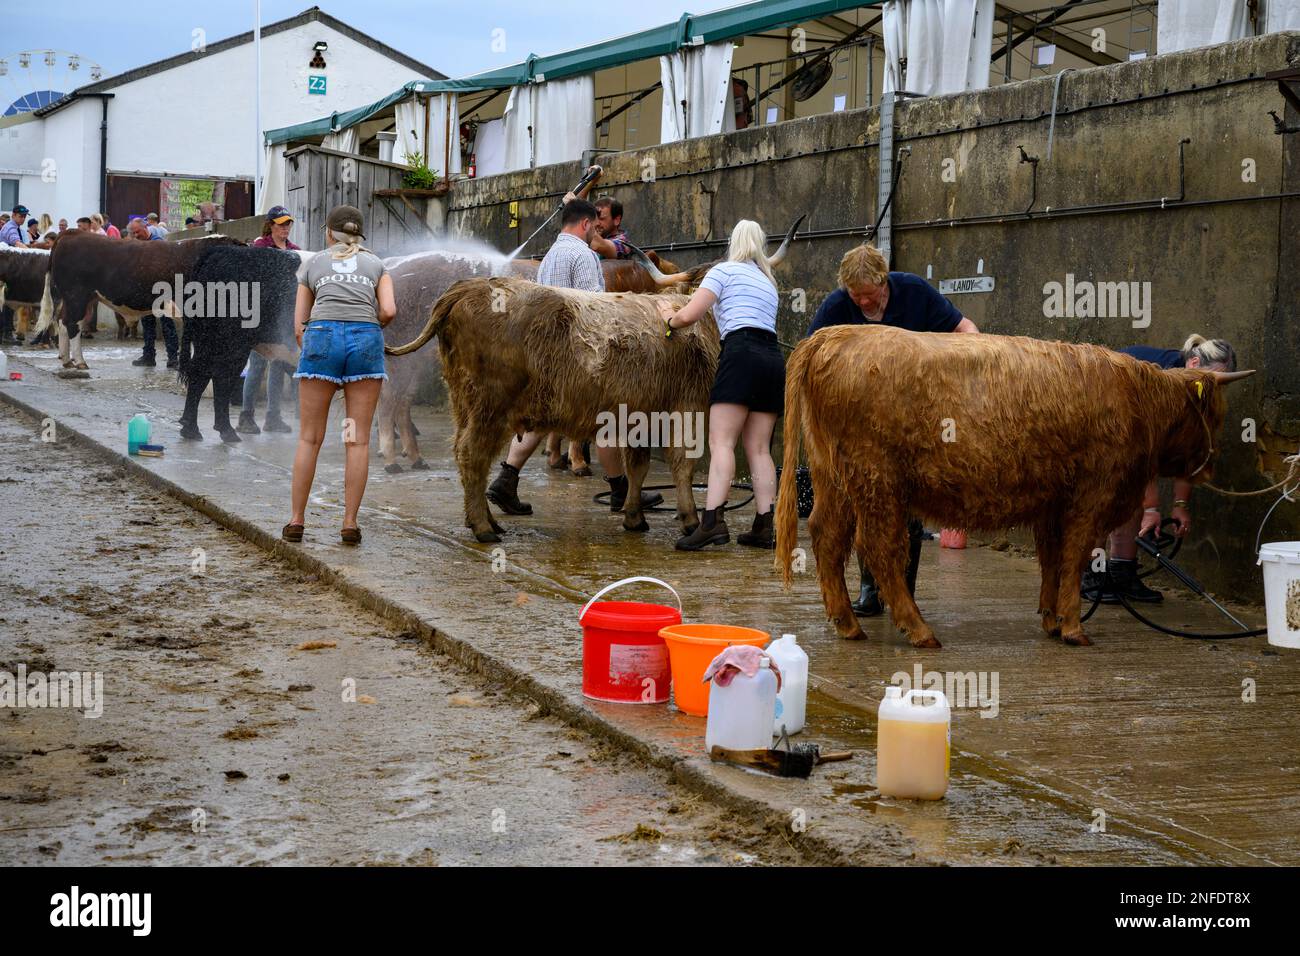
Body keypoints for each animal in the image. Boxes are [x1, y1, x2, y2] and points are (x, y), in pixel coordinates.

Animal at [774, 327, 1253, 650]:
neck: (1138, 399)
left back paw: (848, 624)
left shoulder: (1054, 501)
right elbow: (1075, 557)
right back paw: (919, 630)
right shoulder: (1092, 495)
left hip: (835, 478)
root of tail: (836, 334)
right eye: (1215, 415)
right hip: (877, 480)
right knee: (879, 548)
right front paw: (1074, 627)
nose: (1207, 470)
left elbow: (1053, 559)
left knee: (828, 536)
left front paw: (1052, 619)